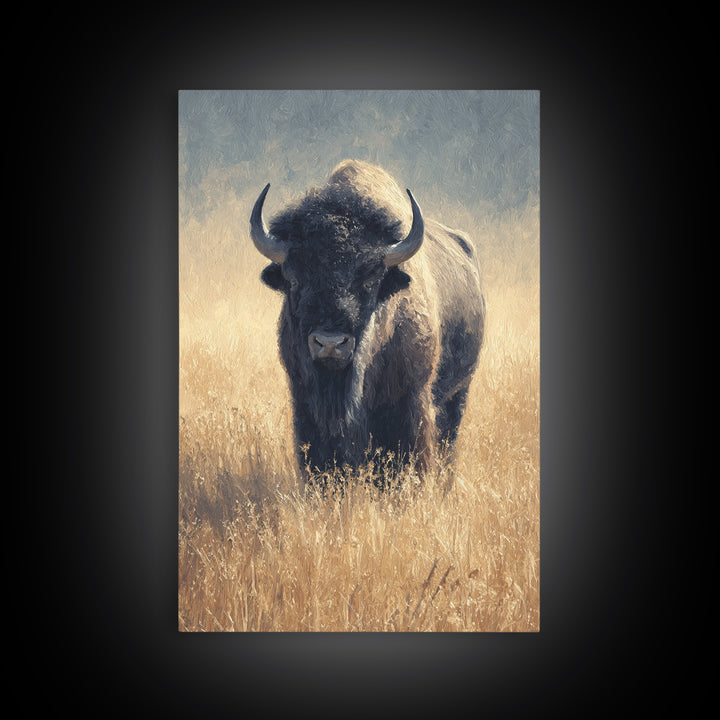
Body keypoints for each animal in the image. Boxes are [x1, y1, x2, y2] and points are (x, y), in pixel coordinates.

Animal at [250, 160, 485, 485]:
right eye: (295, 280)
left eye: (370, 282)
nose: (330, 344)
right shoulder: (305, 403)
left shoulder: (411, 403)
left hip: (457, 394)